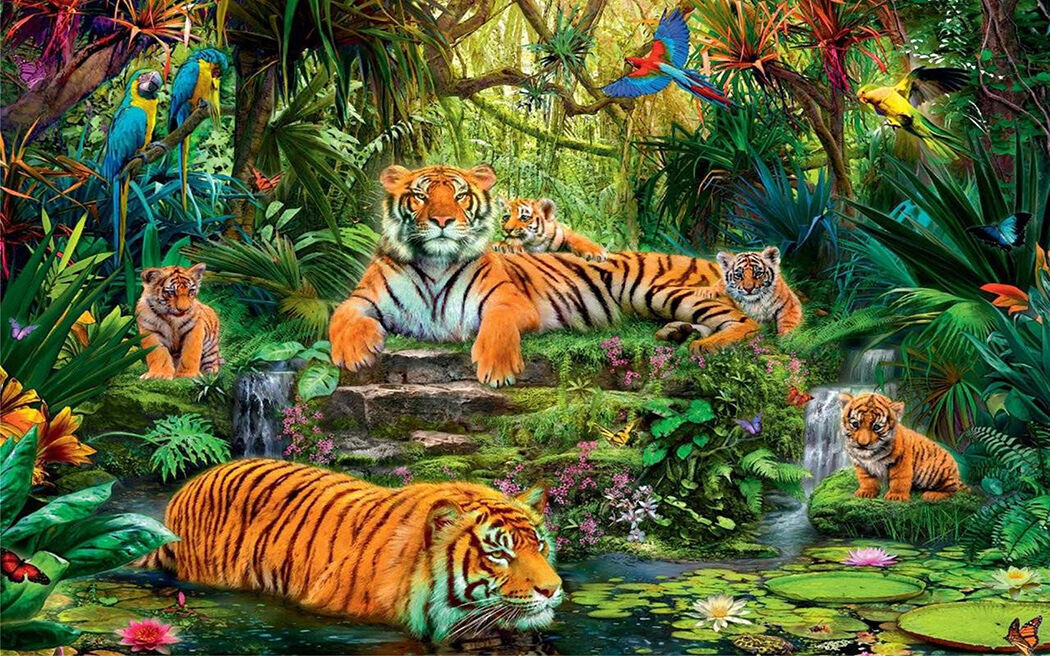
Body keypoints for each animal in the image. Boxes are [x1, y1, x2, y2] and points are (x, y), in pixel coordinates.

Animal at [329, 163, 759, 387]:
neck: (435, 262)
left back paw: (706, 346)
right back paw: (678, 334)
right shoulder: (362, 298)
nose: (442, 221)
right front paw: (354, 352)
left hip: (659, 291)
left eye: (459, 195)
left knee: (747, 323)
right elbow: (340, 316)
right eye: (419, 196)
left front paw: (497, 367)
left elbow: (499, 324)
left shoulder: (508, 299)